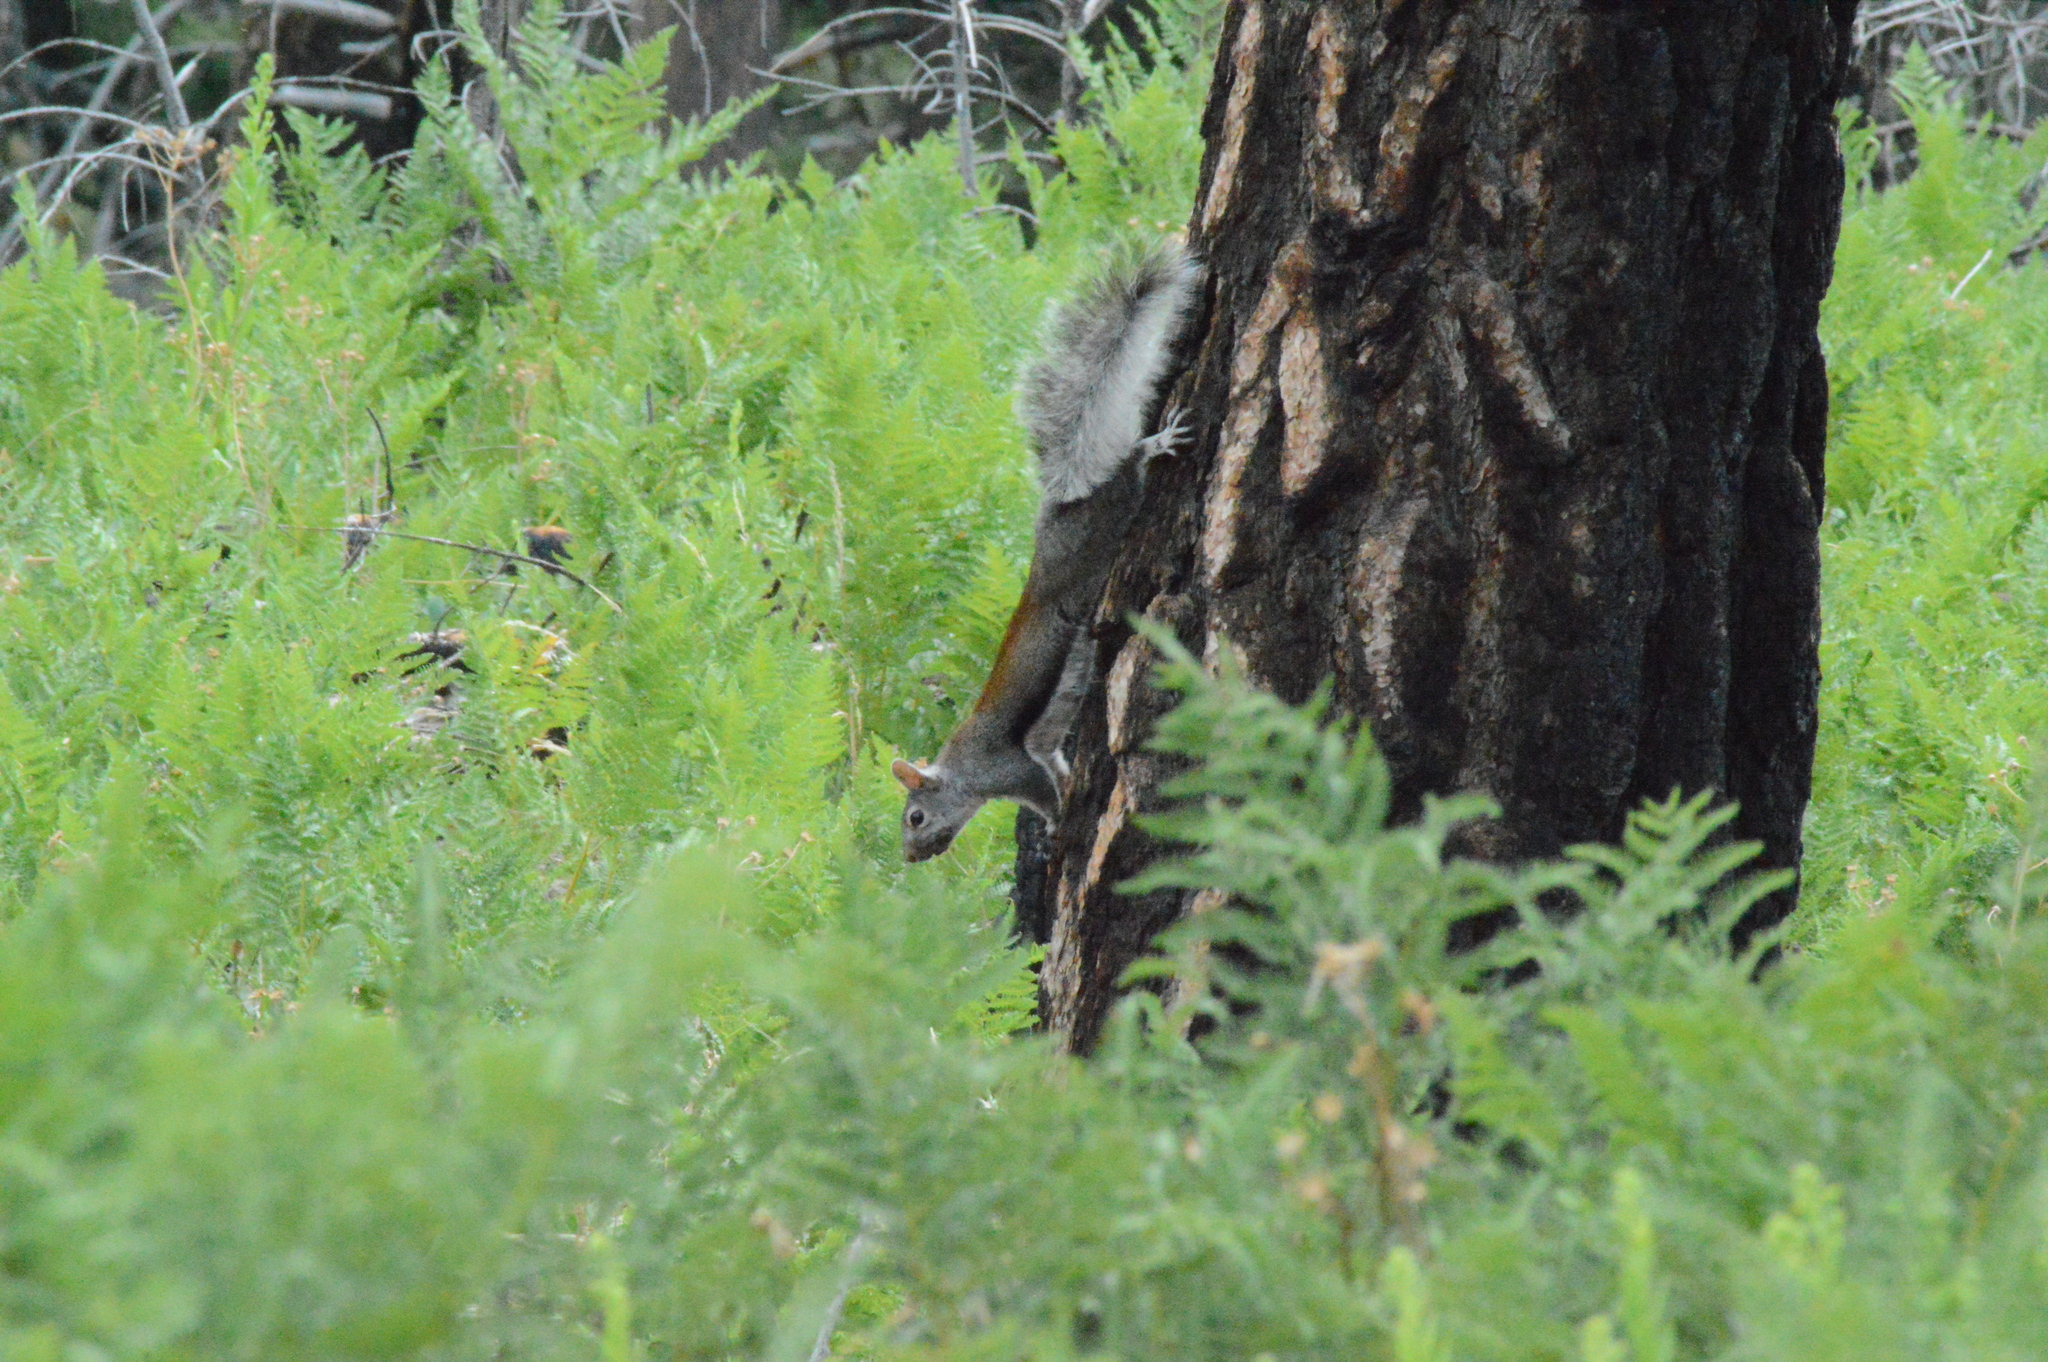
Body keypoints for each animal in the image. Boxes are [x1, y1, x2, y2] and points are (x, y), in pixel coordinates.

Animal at [892, 241, 1201, 862]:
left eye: (915, 817)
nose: (911, 858)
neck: (961, 774)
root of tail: (1058, 514)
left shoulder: (1006, 768)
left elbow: (1044, 793)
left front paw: (1057, 829)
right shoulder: (1040, 754)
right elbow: (1056, 767)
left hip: (1097, 529)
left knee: (1126, 475)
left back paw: (1152, 445)